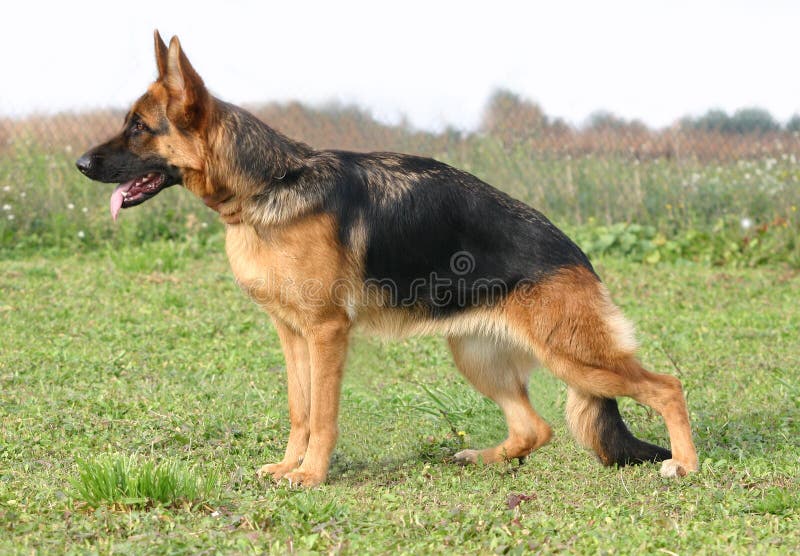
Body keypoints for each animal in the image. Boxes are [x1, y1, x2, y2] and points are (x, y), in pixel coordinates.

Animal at [78, 32, 696, 484]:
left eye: (139, 127)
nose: (81, 163)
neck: (270, 185)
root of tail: (577, 254)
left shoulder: (327, 333)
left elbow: (324, 415)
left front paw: (311, 477)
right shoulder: (292, 334)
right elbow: (300, 410)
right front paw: (288, 466)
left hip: (574, 355)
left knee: (667, 385)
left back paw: (684, 464)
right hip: (475, 355)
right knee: (534, 429)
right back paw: (482, 458)